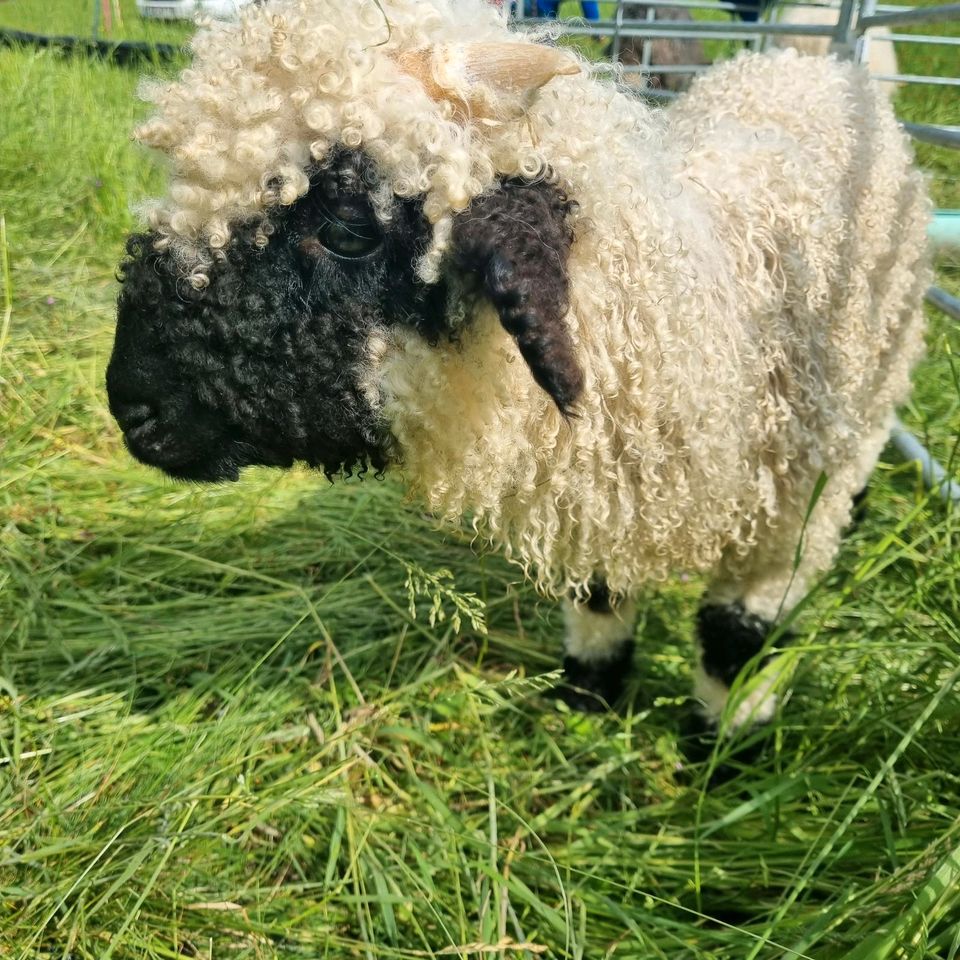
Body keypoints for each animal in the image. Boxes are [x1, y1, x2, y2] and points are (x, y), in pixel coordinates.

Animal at [105, 0, 928, 728]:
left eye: (347, 226)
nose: (130, 409)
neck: (698, 312)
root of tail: (818, 63)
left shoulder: (781, 527)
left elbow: (736, 642)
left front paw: (722, 751)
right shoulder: (608, 482)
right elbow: (600, 593)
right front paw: (589, 699)